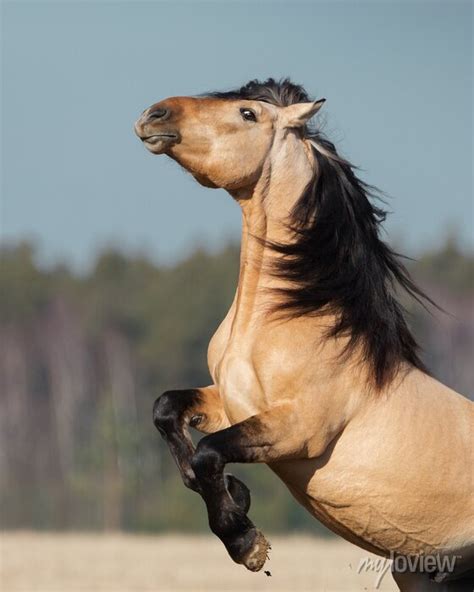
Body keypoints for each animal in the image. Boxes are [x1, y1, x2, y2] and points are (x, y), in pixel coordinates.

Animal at [135, 80, 472, 592]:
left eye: (248, 113)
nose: (154, 115)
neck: (282, 322)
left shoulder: (296, 430)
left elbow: (208, 455)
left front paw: (246, 543)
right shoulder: (230, 403)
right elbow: (167, 412)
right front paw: (237, 497)